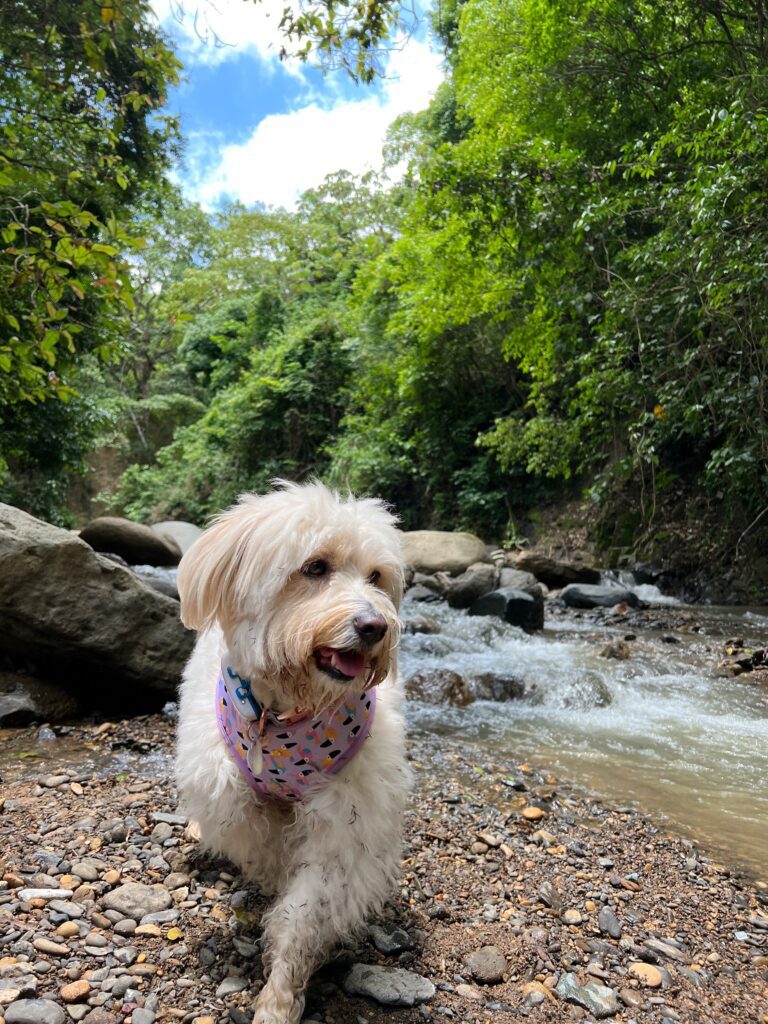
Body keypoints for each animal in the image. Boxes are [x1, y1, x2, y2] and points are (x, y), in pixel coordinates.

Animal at [177, 481, 411, 1024]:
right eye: (315, 567)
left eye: (376, 576)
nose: (375, 626)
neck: (287, 712)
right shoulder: (228, 789)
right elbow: (257, 842)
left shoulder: (347, 822)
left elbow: (309, 906)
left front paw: (281, 993)